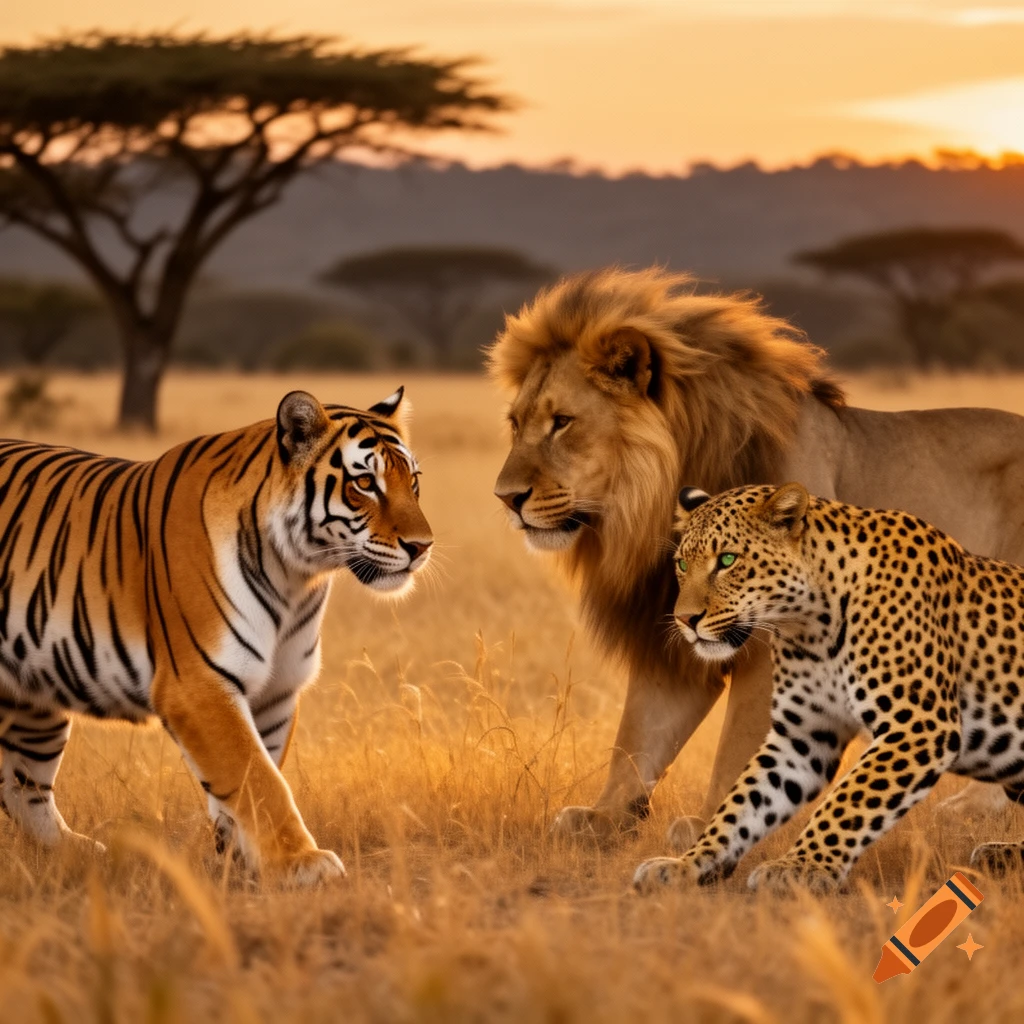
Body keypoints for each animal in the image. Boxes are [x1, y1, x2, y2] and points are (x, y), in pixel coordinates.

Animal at [0, 388, 432, 886]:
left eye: (413, 482)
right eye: (364, 483)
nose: (422, 546)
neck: (296, 578)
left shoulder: (275, 692)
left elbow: (253, 776)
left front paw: (241, 865)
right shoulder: (199, 685)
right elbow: (258, 778)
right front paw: (301, 863)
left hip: (35, 697)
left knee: (20, 787)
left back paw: (84, 854)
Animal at [488, 266, 1024, 847]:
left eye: (562, 421)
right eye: (515, 424)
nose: (505, 498)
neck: (654, 503)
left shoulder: (780, 639)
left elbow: (741, 742)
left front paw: (713, 825)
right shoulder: (674, 631)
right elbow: (638, 732)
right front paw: (605, 815)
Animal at [633, 482, 1024, 895]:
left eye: (726, 560)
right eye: (682, 564)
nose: (684, 620)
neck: (808, 626)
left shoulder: (919, 726)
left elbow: (848, 802)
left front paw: (800, 866)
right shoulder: (803, 738)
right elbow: (742, 804)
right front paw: (688, 863)